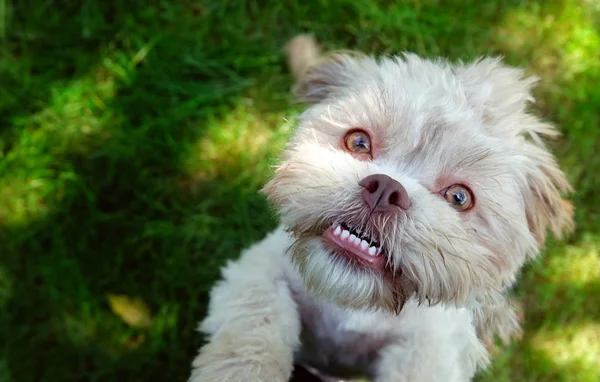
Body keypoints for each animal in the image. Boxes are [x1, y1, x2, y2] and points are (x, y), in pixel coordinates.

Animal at [190, 35, 576, 382]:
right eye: (358, 141)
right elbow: (255, 324)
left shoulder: (432, 341)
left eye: (459, 197)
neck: (348, 301)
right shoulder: (259, 268)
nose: (386, 189)